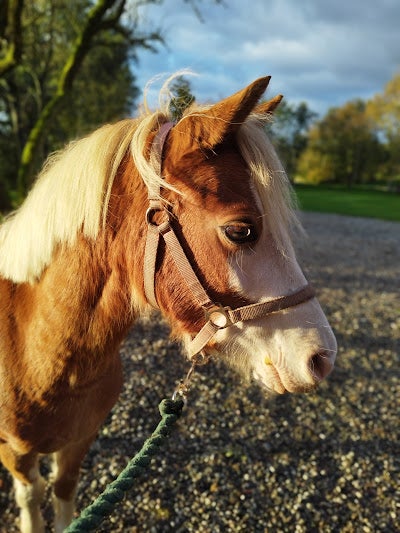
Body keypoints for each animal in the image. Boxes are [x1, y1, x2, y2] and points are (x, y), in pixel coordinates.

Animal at [0, 76, 338, 532]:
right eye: (240, 230)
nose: (322, 357)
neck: (39, 351)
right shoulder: (15, 453)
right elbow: (31, 497)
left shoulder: (78, 441)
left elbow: (64, 488)